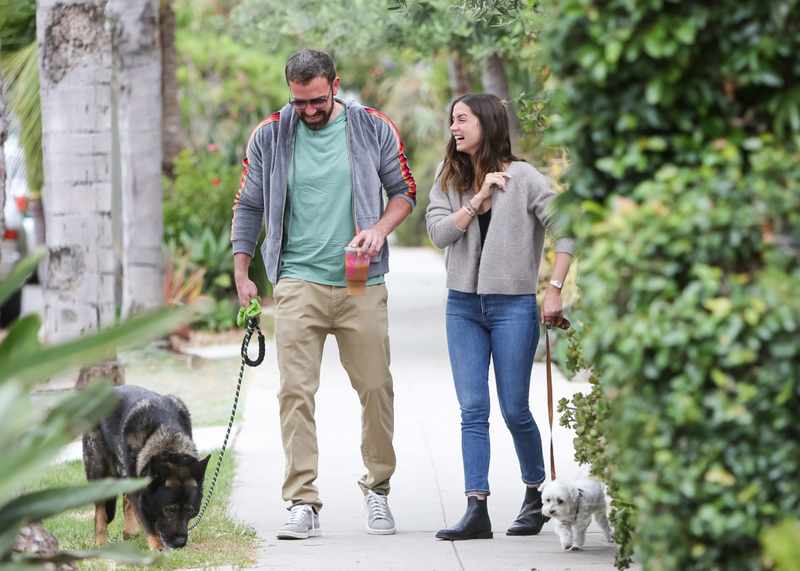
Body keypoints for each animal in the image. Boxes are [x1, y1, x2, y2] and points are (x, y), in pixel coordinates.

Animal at [83, 386, 211, 552]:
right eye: (169, 510)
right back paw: (101, 541)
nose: (180, 543)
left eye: (189, 511)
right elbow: (148, 523)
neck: (166, 437)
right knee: (100, 511)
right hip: (99, 471)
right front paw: (158, 547)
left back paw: (129, 531)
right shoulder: (139, 491)